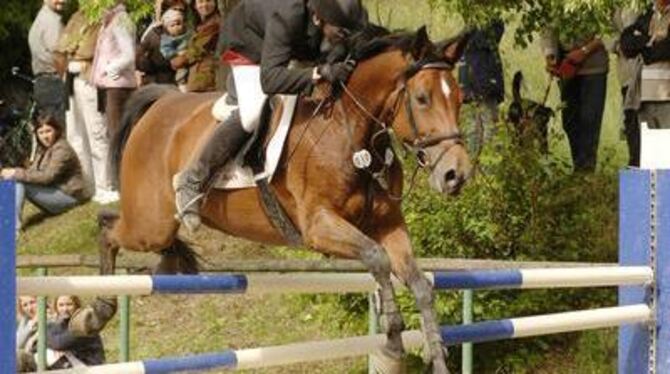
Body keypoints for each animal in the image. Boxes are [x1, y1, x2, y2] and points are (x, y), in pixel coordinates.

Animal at [102, 27, 476, 372]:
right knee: (107, 228)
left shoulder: (388, 225)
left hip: (155, 226)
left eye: (460, 99)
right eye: (423, 98)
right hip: (149, 224)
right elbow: (377, 257)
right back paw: (102, 308)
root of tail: (161, 102)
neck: (351, 133)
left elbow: (420, 283)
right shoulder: (319, 226)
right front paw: (393, 333)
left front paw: (436, 355)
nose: (456, 175)